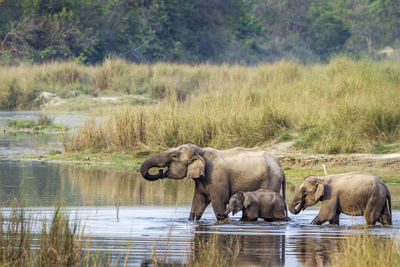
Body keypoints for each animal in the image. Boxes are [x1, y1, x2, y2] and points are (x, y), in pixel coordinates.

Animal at [141, 144, 284, 222]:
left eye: (174, 156)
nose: (160, 171)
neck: (201, 151)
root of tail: (280, 166)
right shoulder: (201, 181)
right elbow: (197, 204)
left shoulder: (216, 178)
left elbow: (218, 203)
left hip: (271, 181)